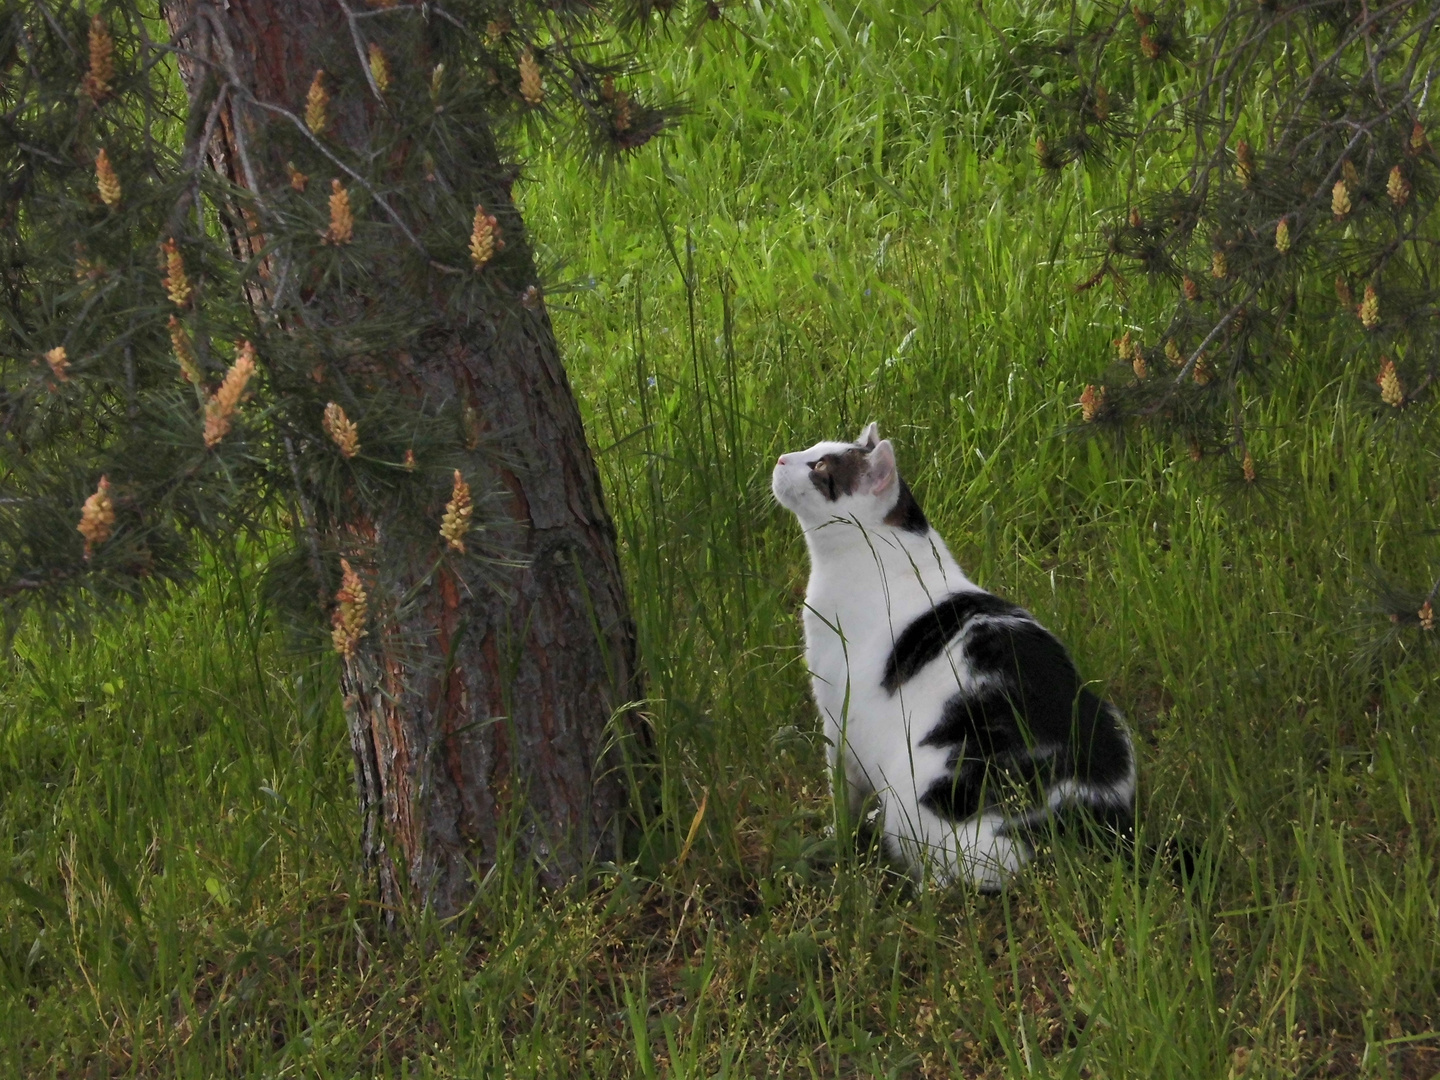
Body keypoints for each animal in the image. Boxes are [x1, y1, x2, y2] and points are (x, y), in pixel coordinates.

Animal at [771, 423, 1128, 887]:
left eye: (819, 467)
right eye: (811, 448)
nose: (780, 458)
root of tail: (1078, 817)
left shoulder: (838, 719)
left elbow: (842, 794)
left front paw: (838, 838)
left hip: (921, 798)